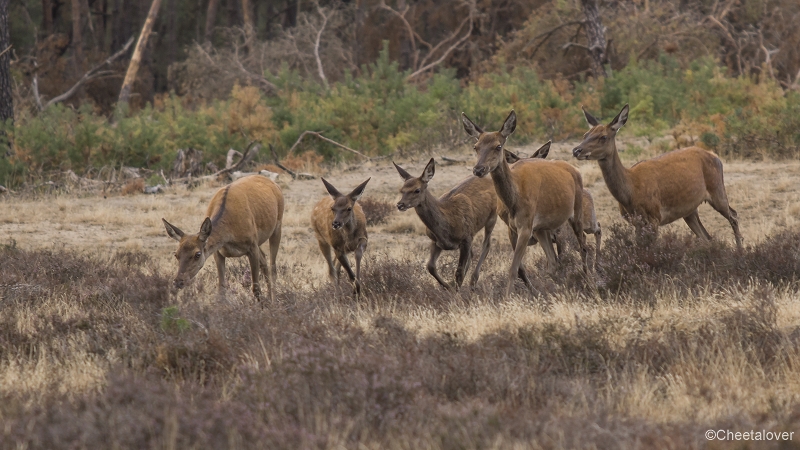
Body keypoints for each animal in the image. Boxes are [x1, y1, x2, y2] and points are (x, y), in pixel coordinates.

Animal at [392, 158, 496, 290]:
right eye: (402, 190)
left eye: (417, 190)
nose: (400, 205)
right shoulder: (435, 241)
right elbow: (430, 266)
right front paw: (448, 286)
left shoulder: (466, 237)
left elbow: (459, 272)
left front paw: (456, 291)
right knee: (472, 254)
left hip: (493, 216)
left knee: (486, 245)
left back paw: (473, 281)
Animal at [462, 110, 588, 298]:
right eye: (475, 146)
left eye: (498, 146)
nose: (478, 169)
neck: (513, 201)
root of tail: (575, 170)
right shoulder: (512, 227)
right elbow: (520, 268)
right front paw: (532, 292)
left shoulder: (526, 225)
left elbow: (513, 269)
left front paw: (507, 299)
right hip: (542, 228)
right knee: (553, 261)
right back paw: (556, 289)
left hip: (576, 211)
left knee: (582, 246)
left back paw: (588, 280)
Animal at [572, 104, 740, 250]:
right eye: (585, 135)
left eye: (603, 137)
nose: (576, 150)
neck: (630, 193)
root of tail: (716, 157)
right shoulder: (636, 222)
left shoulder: (654, 217)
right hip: (690, 210)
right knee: (707, 237)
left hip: (717, 189)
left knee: (733, 215)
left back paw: (740, 251)